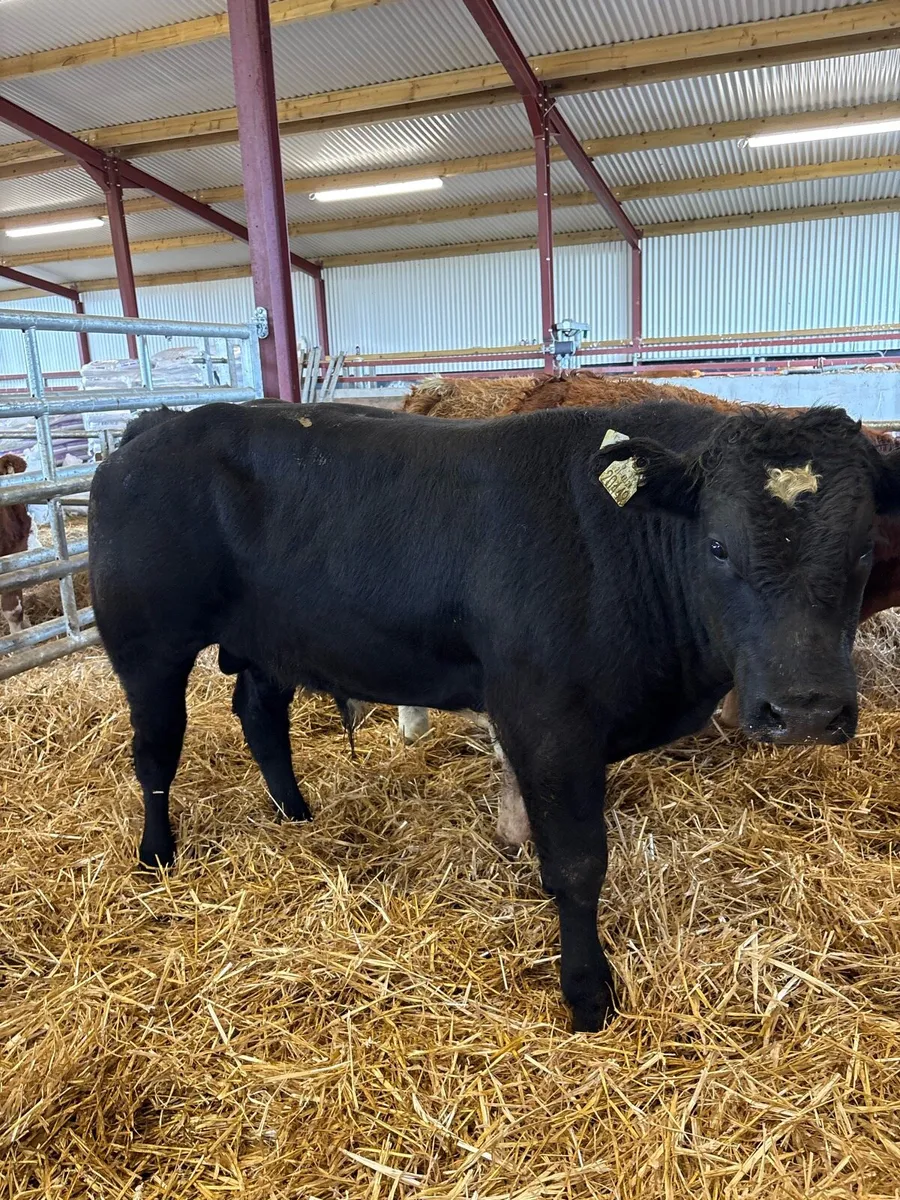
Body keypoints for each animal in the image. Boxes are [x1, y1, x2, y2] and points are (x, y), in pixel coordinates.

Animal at [89, 398, 900, 1031]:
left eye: (865, 550)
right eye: (718, 545)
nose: (805, 710)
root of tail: (156, 426)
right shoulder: (548, 723)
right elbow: (577, 863)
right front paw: (588, 994)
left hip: (269, 644)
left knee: (259, 717)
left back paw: (294, 813)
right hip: (148, 645)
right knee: (156, 749)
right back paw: (157, 853)